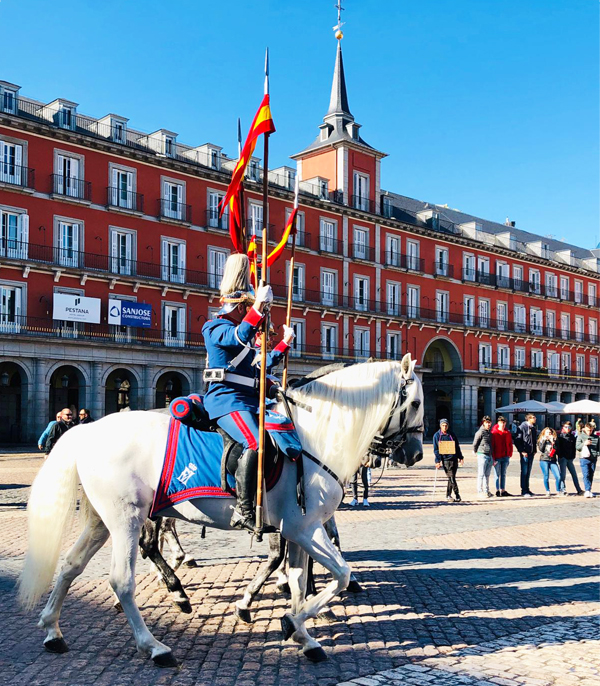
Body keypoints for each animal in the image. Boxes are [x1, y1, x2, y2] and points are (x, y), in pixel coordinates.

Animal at [18, 354, 422, 668]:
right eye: (417, 403)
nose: (416, 453)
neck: (312, 438)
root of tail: (90, 430)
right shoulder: (305, 528)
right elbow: (337, 573)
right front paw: (291, 622)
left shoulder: (296, 530)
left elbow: (297, 578)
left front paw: (303, 634)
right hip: (127, 520)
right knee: (122, 580)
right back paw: (156, 643)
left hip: (103, 521)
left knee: (71, 565)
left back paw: (53, 630)